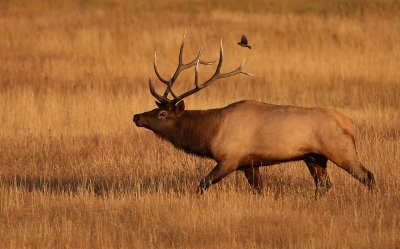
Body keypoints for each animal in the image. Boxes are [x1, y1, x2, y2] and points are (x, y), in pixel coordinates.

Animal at [134, 34, 376, 196]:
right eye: (155, 109)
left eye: (162, 113)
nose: (136, 117)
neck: (210, 132)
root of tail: (350, 124)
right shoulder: (249, 164)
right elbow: (258, 190)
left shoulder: (230, 158)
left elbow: (202, 184)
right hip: (314, 157)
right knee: (324, 185)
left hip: (340, 150)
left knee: (368, 176)